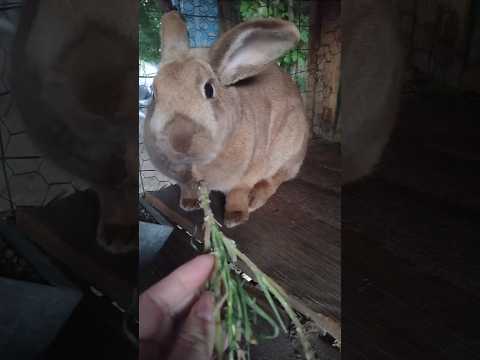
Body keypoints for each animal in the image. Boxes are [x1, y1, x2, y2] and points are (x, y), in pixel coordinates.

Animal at [145, 12, 312, 229]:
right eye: (153, 94)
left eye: (209, 89)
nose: (179, 140)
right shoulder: (185, 181)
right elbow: (187, 189)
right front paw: (188, 204)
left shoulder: (247, 174)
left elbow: (237, 193)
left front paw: (235, 217)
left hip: (288, 152)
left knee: (276, 179)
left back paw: (254, 200)